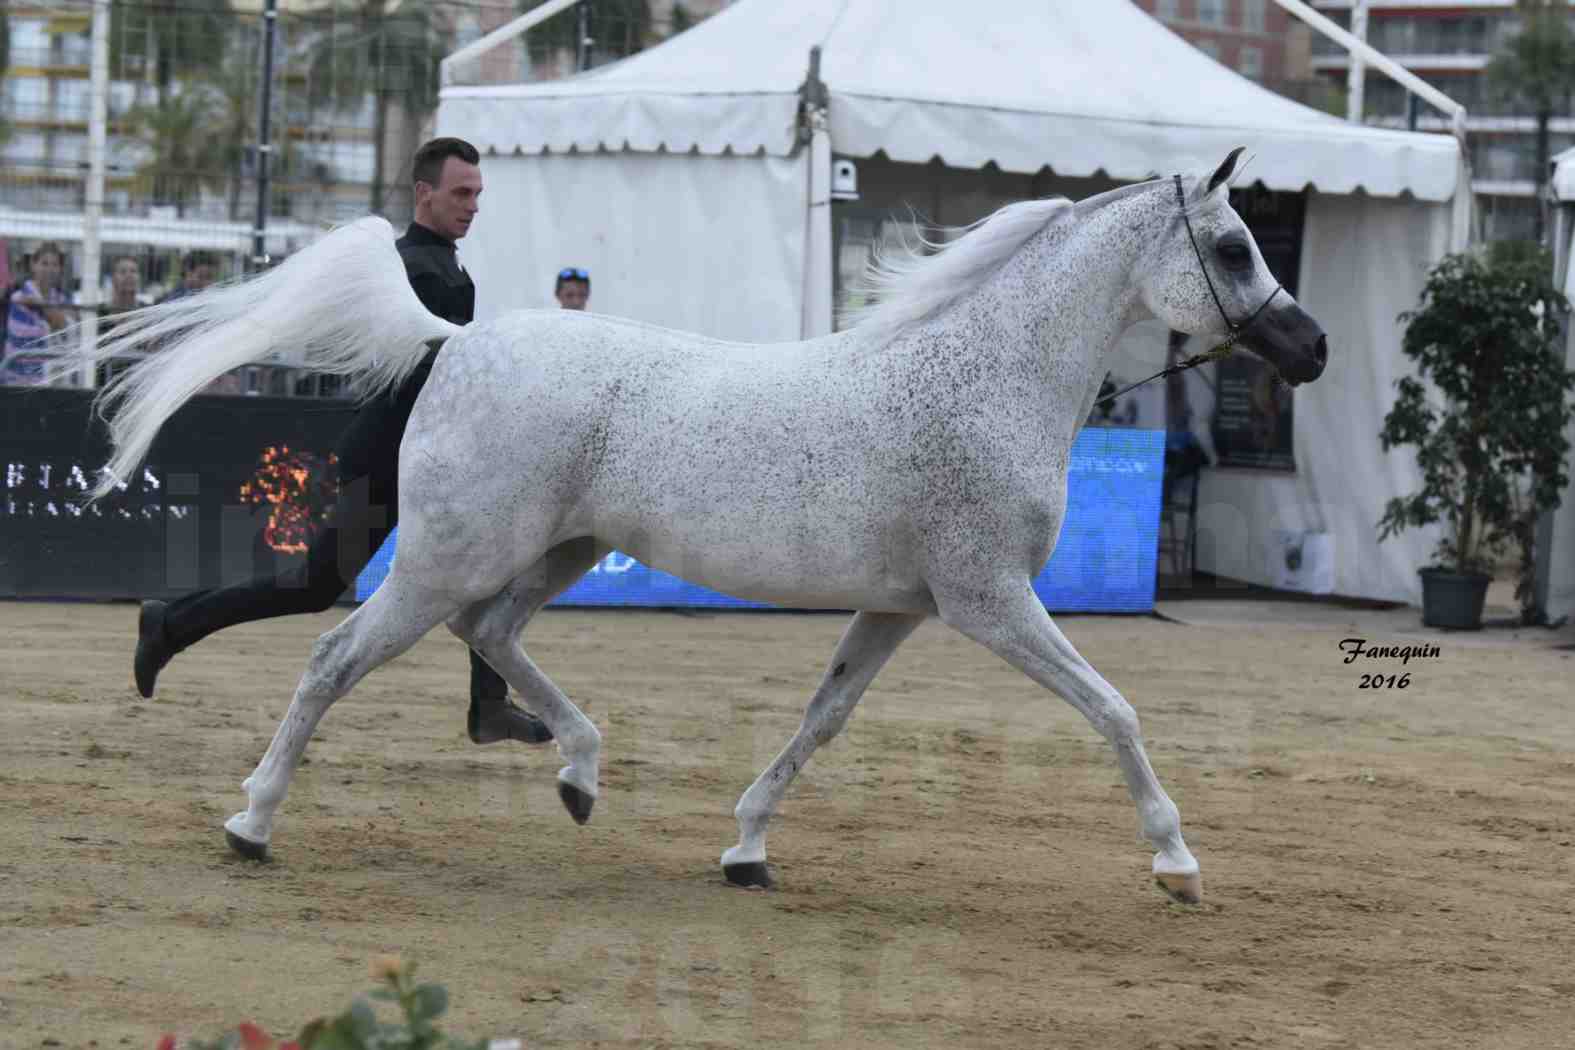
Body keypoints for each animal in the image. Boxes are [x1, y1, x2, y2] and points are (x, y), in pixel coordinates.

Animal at [89, 147, 1316, 906]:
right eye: (1237, 247)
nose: (1310, 350)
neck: (982, 381)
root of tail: (458, 337)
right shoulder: (991, 603)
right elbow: (1114, 710)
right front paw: (1176, 863)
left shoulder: (899, 610)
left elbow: (820, 724)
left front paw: (745, 849)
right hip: (447, 556)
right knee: (339, 654)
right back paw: (251, 822)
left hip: (556, 551)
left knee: (491, 638)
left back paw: (579, 776)